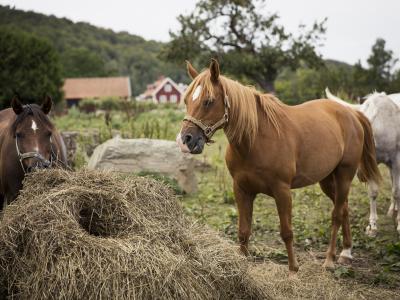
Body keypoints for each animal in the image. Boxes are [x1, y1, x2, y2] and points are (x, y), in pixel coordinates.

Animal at [178, 59, 382, 274]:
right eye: (187, 101)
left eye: (208, 101)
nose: (185, 140)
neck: (255, 140)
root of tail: (352, 113)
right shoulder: (242, 190)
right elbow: (243, 231)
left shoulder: (282, 191)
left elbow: (286, 232)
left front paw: (293, 270)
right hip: (327, 180)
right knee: (344, 208)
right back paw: (346, 252)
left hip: (344, 175)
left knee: (336, 214)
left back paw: (329, 259)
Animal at [324, 86, 400, 237]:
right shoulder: (371, 164)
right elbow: (373, 192)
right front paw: (372, 226)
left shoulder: (397, 160)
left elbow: (397, 191)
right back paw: (391, 210)